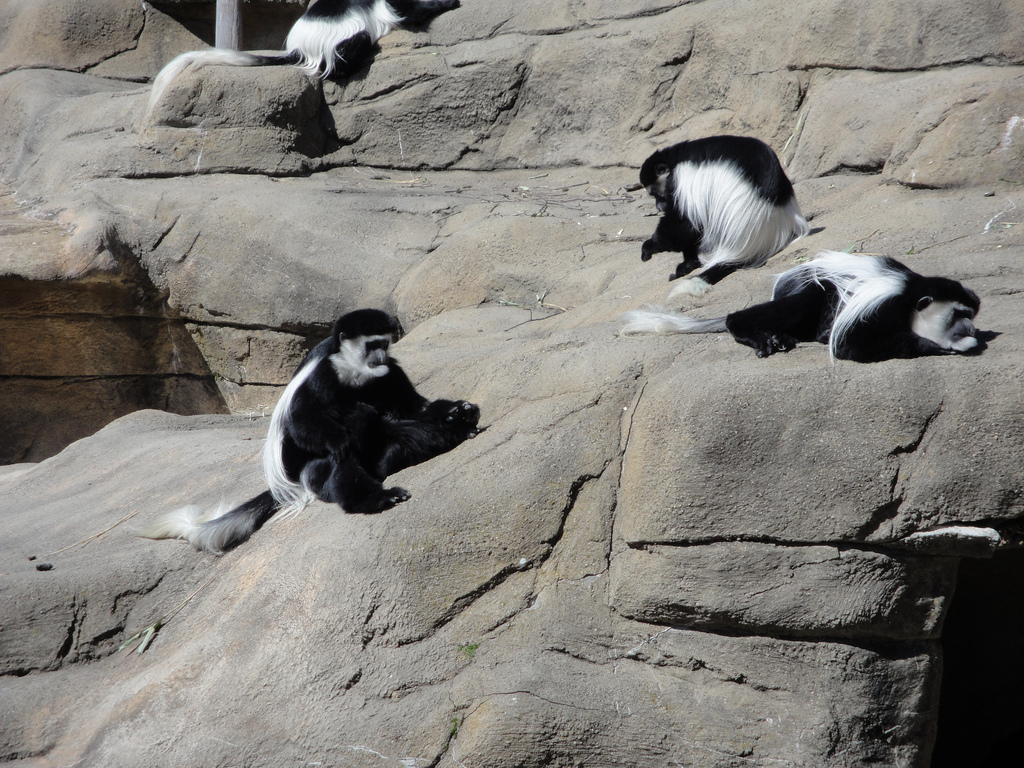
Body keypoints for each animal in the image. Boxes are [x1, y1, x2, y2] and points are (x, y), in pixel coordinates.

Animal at [138, 309, 482, 554]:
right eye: (371, 344)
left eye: (384, 344)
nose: (381, 356)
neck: (354, 371)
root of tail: (288, 485)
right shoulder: (322, 375)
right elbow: (303, 424)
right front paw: (341, 441)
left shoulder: (390, 373)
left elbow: (413, 407)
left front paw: (460, 410)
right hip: (315, 473)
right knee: (345, 442)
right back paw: (375, 497)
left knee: (400, 433)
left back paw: (455, 431)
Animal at [621, 251, 982, 363]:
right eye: (958, 315)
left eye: (969, 315)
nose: (970, 329)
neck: (911, 299)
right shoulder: (884, 305)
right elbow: (851, 345)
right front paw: (942, 346)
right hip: (807, 293)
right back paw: (755, 332)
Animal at [639, 135, 810, 298]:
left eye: (655, 193)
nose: (659, 207)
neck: (675, 160)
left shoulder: (681, 179)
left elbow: (684, 224)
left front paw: (649, 247)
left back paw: (684, 268)